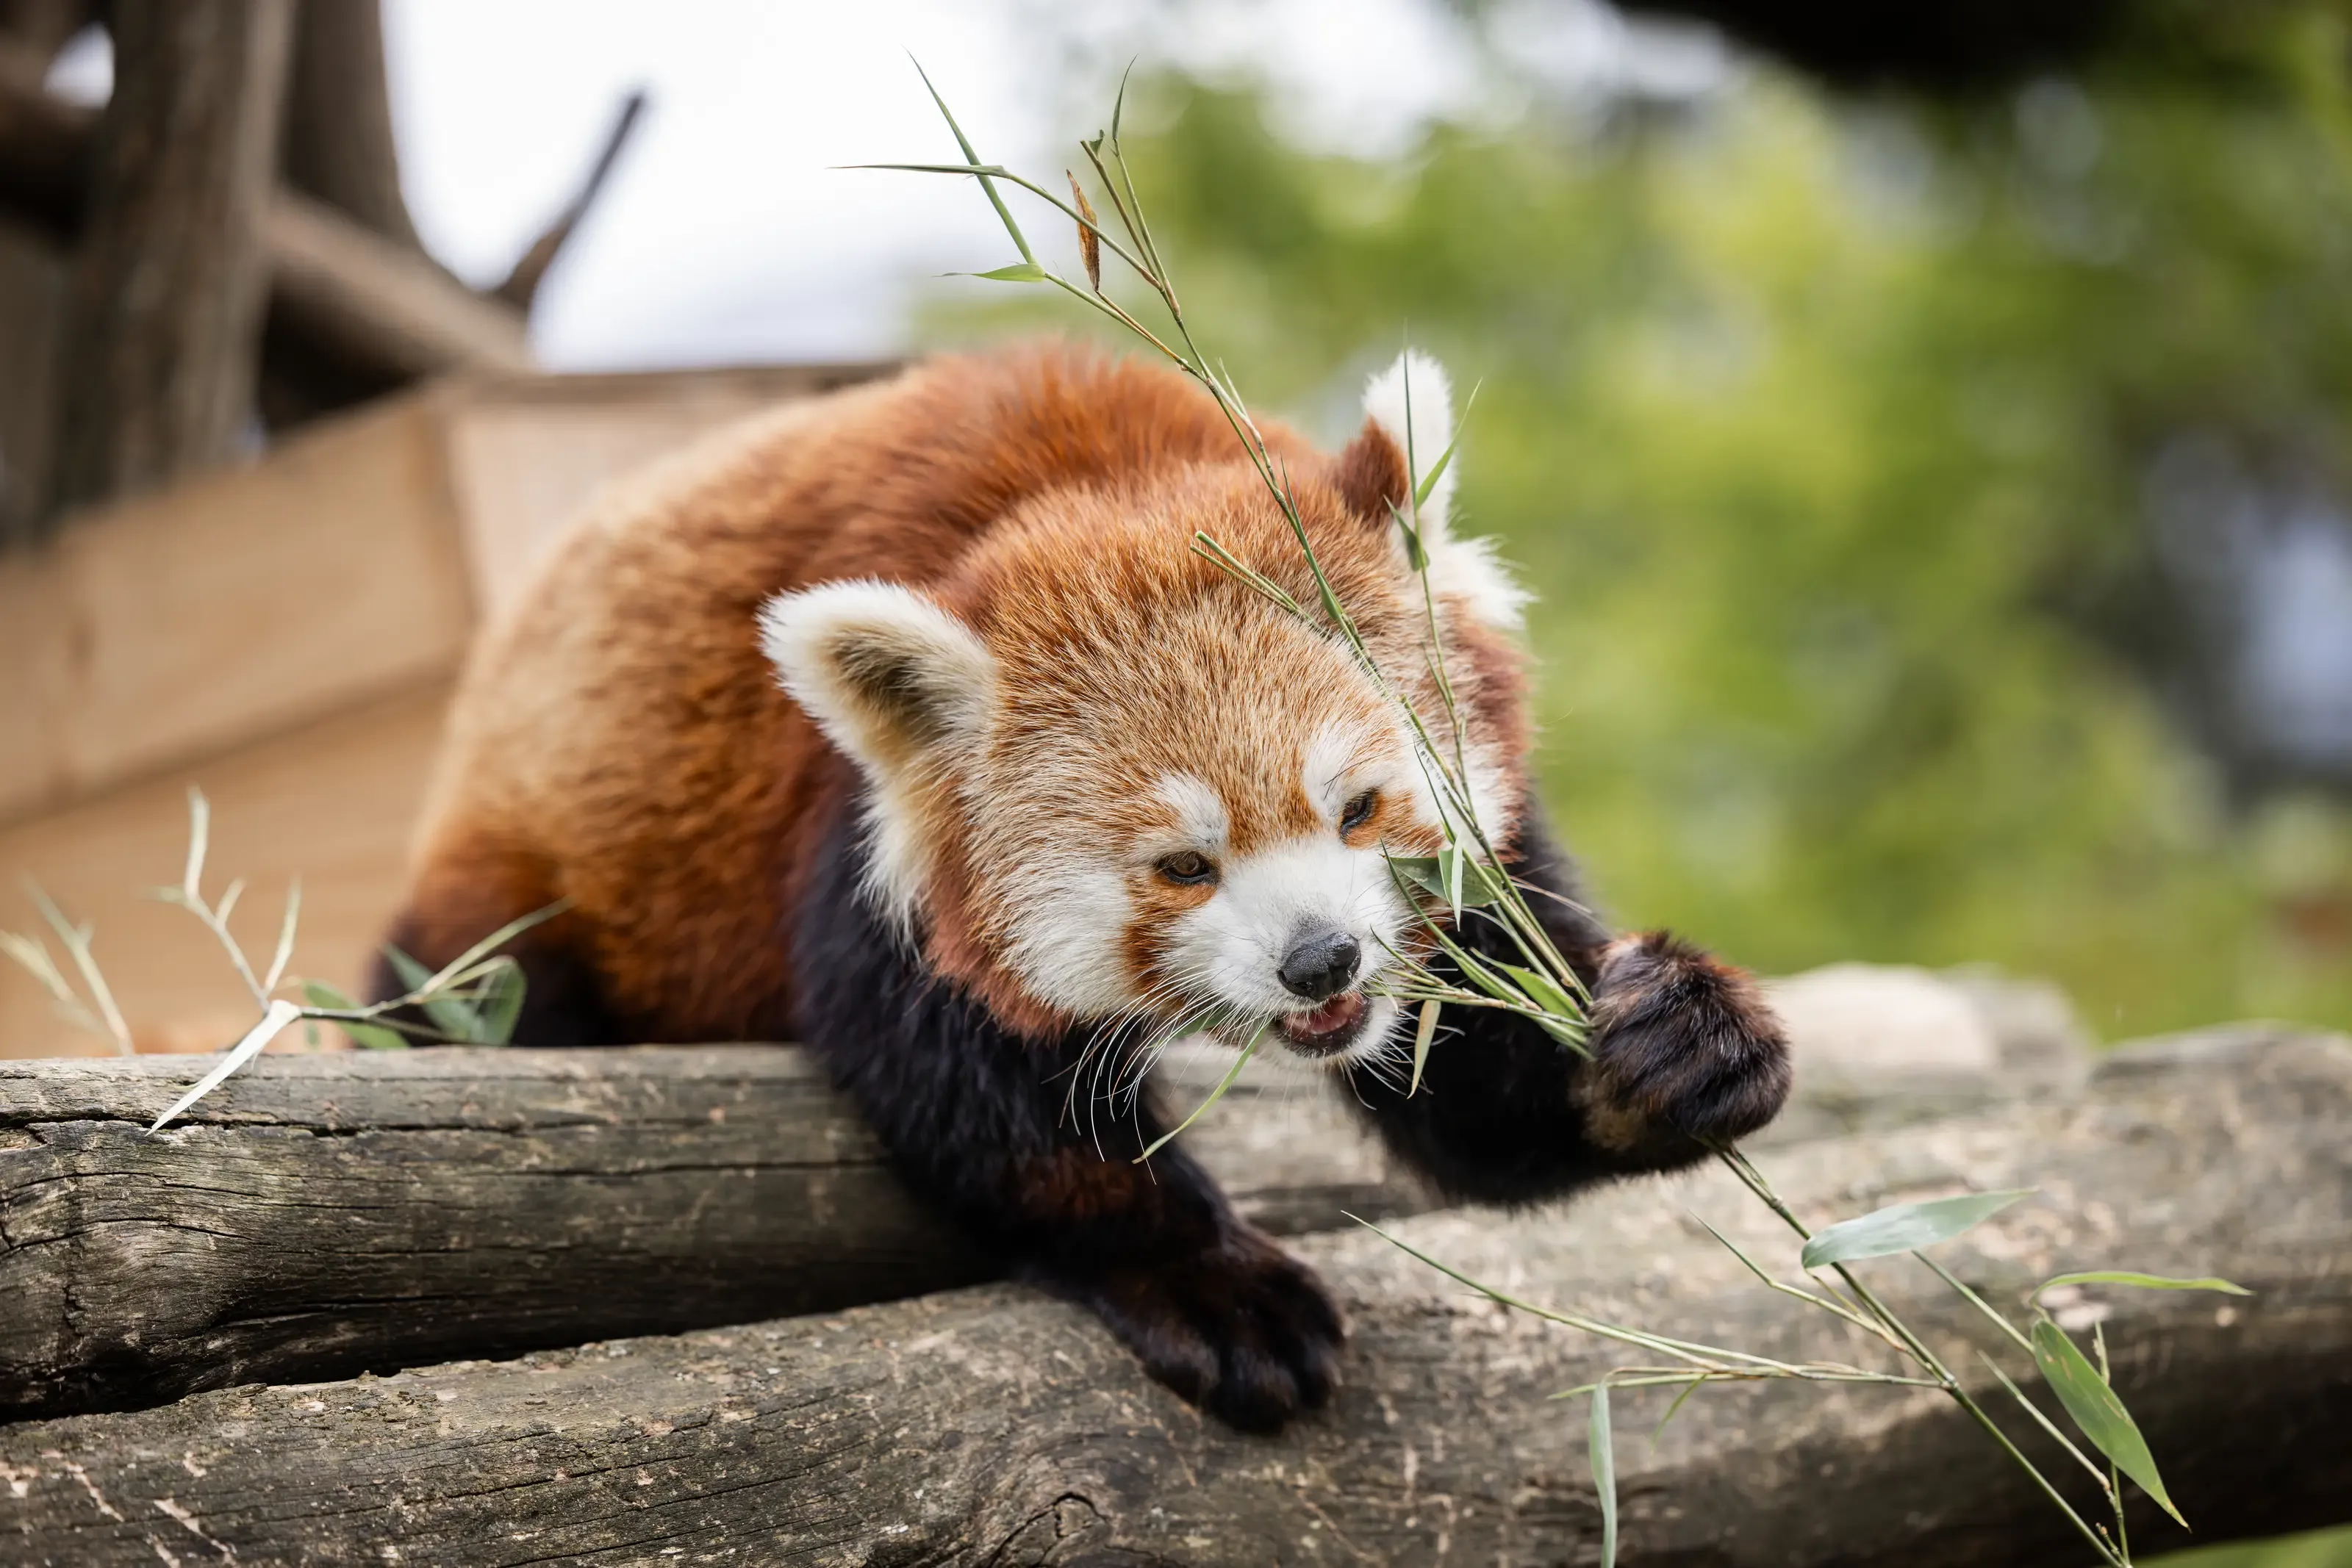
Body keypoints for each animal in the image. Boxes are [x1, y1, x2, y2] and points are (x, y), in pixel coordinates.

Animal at [378, 340, 1791, 1432]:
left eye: (1357, 806)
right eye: (1184, 866)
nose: (1322, 960)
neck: (1091, 473)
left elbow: (1477, 1073)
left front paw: (1671, 1041)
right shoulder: (857, 833)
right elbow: (986, 1097)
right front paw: (1213, 1281)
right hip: (519, 883)